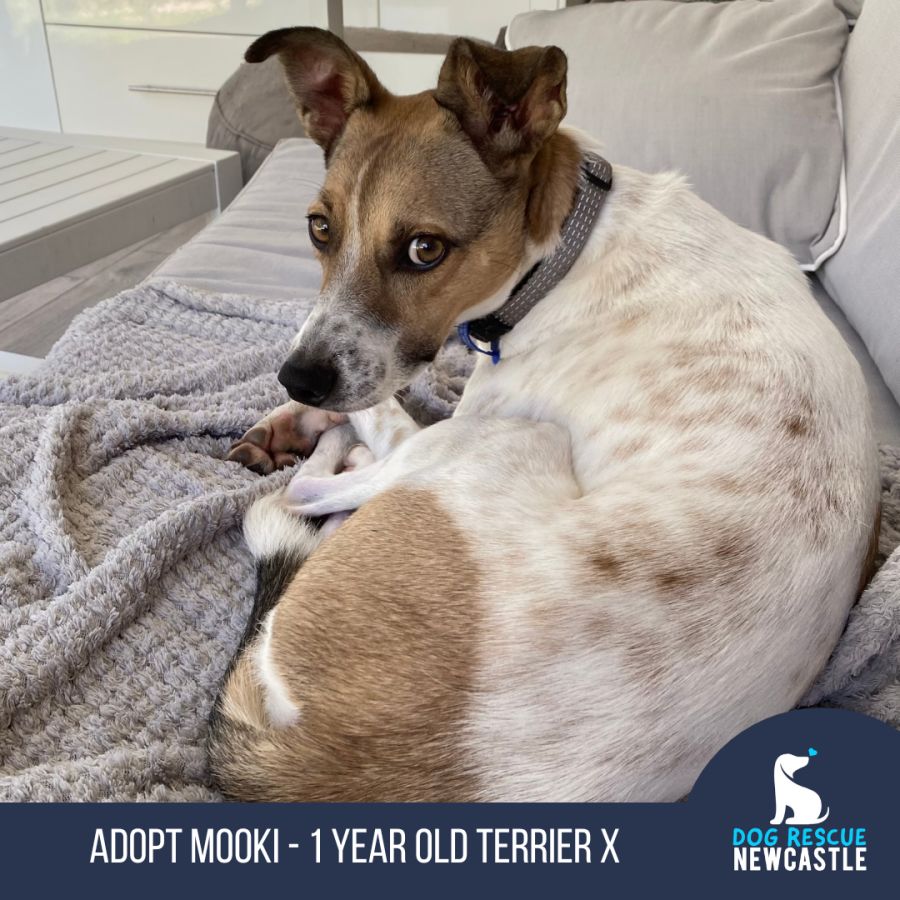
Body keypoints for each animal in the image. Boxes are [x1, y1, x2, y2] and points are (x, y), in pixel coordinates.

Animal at [207, 27, 881, 802]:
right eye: (320, 229)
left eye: (424, 249)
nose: (299, 377)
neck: (565, 245)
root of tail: (337, 764)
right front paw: (289, 416)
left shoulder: (452, 415)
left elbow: (380, 405)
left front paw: (310, 424)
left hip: (503, 441)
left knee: (305, 495)